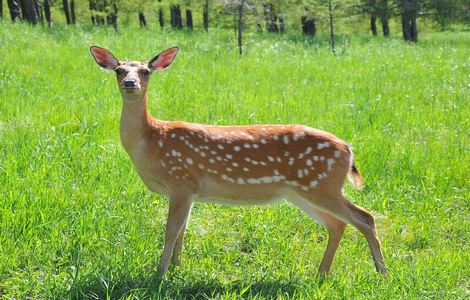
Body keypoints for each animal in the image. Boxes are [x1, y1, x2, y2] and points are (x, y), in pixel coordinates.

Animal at [90, 45, 388, 278]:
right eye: (119, 70)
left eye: (145, 71)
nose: (130, 84)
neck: (151, 140)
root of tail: (347, 148)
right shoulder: (190, 191)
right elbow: (183, 231)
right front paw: (176, 267)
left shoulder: (181, 182)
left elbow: (171, 231)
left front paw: (159, 273)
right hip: (302, 191)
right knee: (338, 224)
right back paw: (322, 273)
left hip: (322, 185)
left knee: (365, 217)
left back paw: (382, 272)